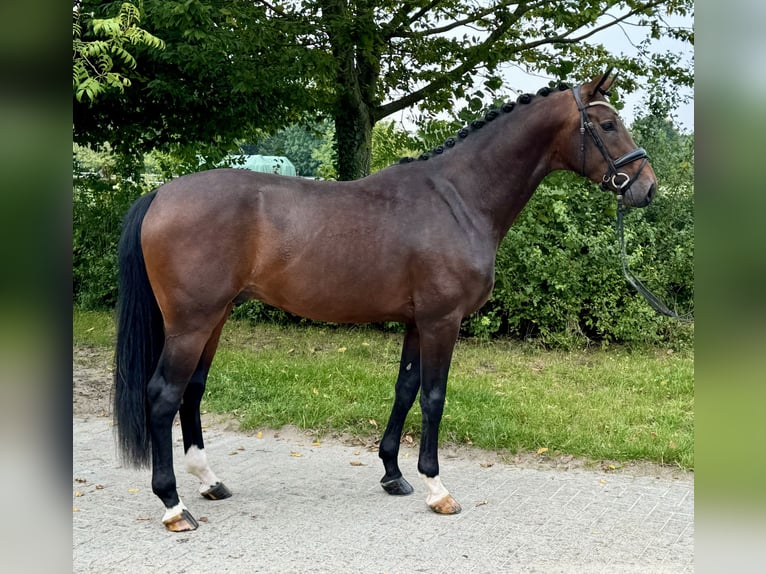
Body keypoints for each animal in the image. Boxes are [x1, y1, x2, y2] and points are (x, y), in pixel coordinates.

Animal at [112, 70, 656, 532]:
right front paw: (437, 487)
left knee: (192, 390)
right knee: (162, 395)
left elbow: (405, 389)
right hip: (191, 322)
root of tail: (160, 194)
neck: (458, 199)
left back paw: (209, 482)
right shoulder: (442, 321)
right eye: (608, 124)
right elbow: (434, 396)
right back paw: (173, 505)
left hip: (214, 318)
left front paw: (394, 473)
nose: (647, 187)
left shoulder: (418, 322)